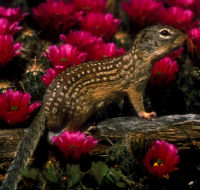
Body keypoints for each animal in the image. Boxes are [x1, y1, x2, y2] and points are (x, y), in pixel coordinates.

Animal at [0, 24, 188, 189]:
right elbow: (137, 102)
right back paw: (84, 131)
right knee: (60, 135)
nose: (186, 37)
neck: (140, 57)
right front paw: (146, 114)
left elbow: (129, 103)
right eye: (165, 32)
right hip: (81, 109)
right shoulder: (135, 85)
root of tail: (45, 109)